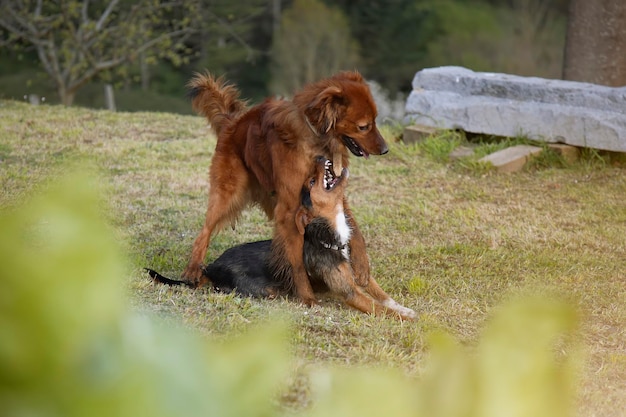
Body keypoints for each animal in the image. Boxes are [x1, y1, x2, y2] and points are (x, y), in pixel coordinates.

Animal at [146, 156, 414, 318]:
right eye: (312, 181)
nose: (319, 158)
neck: (330, 235)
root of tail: (210, 268)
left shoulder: (361, 277)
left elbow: (383, 297)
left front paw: (405, 309)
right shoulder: (350, 292)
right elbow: (377, 307)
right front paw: (407, 319)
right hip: (264, 290)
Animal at [183, 70, 386, 306]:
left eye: (375, 121)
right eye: (363, 126)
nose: (385, 150)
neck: (316, 139)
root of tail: (232, 121)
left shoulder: (331, 191)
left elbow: (352, 226)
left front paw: (362, 266)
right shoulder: (291, 209)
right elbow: (297, 263)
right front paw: (307, 298)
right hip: (227, 194)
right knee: (204, 232)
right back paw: (192, 270)